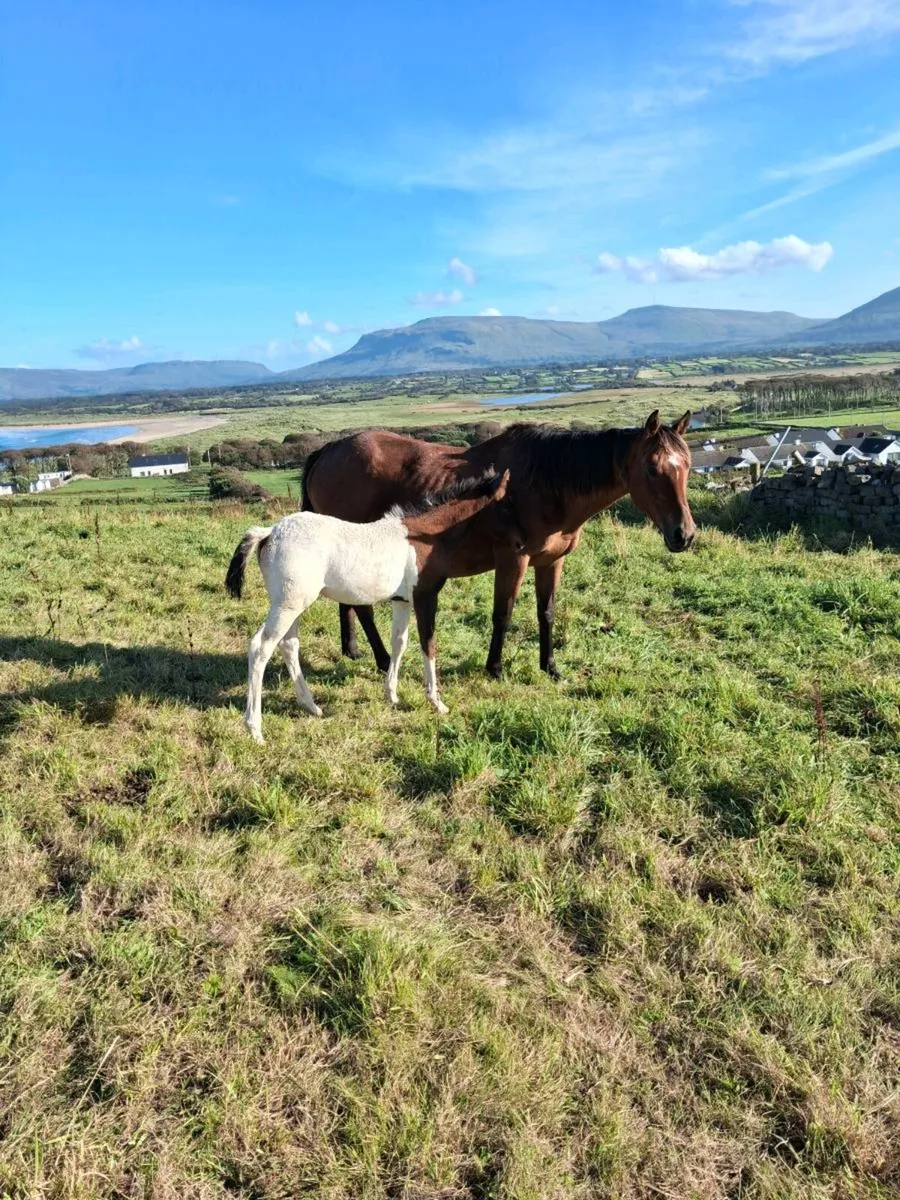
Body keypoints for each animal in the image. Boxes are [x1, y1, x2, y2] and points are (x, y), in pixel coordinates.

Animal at [225, 470, 520, 742]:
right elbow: (429, 645)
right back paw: (255, 729)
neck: (426, 537)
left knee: (288, 645)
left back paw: (311, 706)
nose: (520, 543)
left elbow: (399, 643)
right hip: (288, 605)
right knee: (261, 648)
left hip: (292, 605)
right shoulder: (426, 598)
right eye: (505, 504)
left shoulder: (403, 602)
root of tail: (270, 532)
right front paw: (437, 702)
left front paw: (393, 696)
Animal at [302, 410, 695, 679]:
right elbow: (502, 613)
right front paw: (495, 668)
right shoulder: (512, 560)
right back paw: (383, 660)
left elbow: (546, 612)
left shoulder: (552, 561)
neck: (546, 482)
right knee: (362, 606)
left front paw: (549, 666)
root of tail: (328, 451)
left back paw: (353, 650)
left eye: (687, 466)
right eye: (652, 470)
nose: (684, 534)